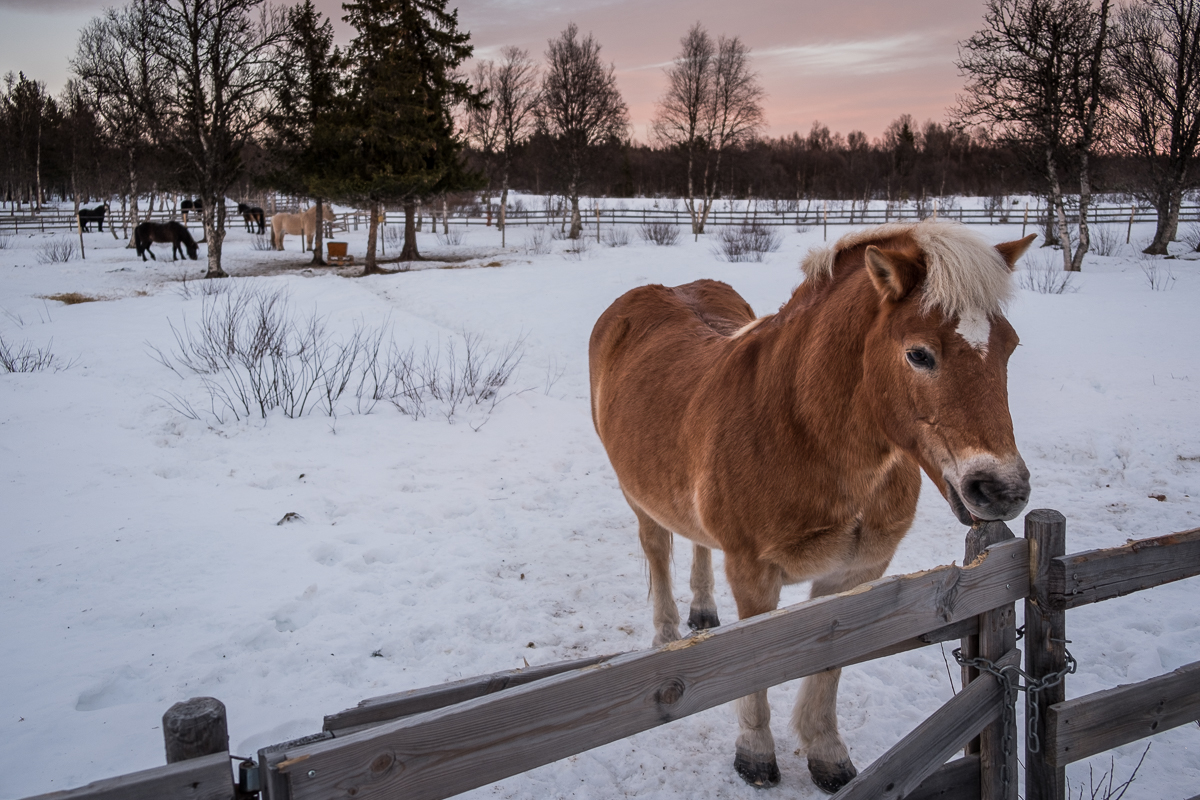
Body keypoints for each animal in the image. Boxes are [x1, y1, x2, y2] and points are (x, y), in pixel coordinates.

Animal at [588, 220, 1032, 796]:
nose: (1001, 490)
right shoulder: (754, 575)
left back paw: (703, 613)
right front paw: (755, 755)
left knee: (696, 542)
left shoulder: (856, 574)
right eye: (919, 354)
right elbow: (756, 668)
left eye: (1010, 347)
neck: (804, 433)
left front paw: (826, 755)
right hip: (637, 495)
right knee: (658, 548)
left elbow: (828, 664)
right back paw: (667, 636)